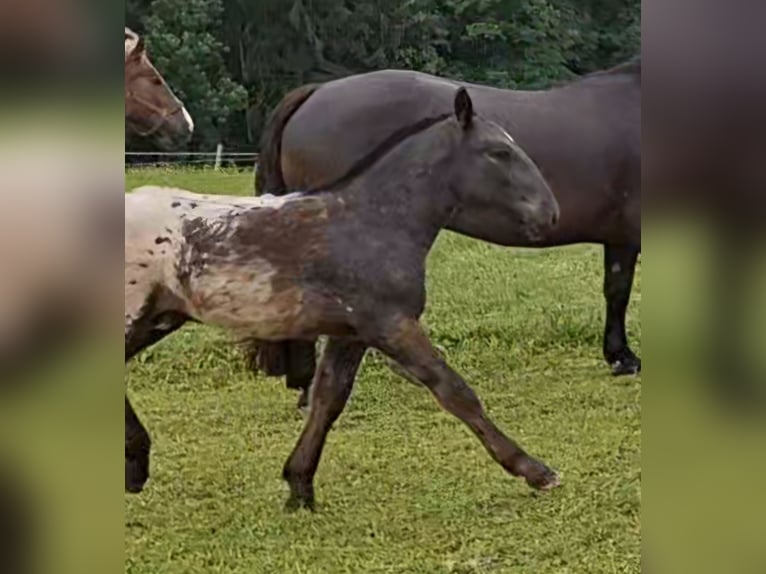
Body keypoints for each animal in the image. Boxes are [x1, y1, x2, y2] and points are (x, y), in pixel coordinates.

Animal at [125, 88, 561, 508]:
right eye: (499, 152)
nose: (551, 214)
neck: (373, 222)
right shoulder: (390, 324)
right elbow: (453, 389)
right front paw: (534, 470)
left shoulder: (351, 332)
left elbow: (328, 399)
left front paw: (300, 485)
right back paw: (136, 462)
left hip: (157, 319)